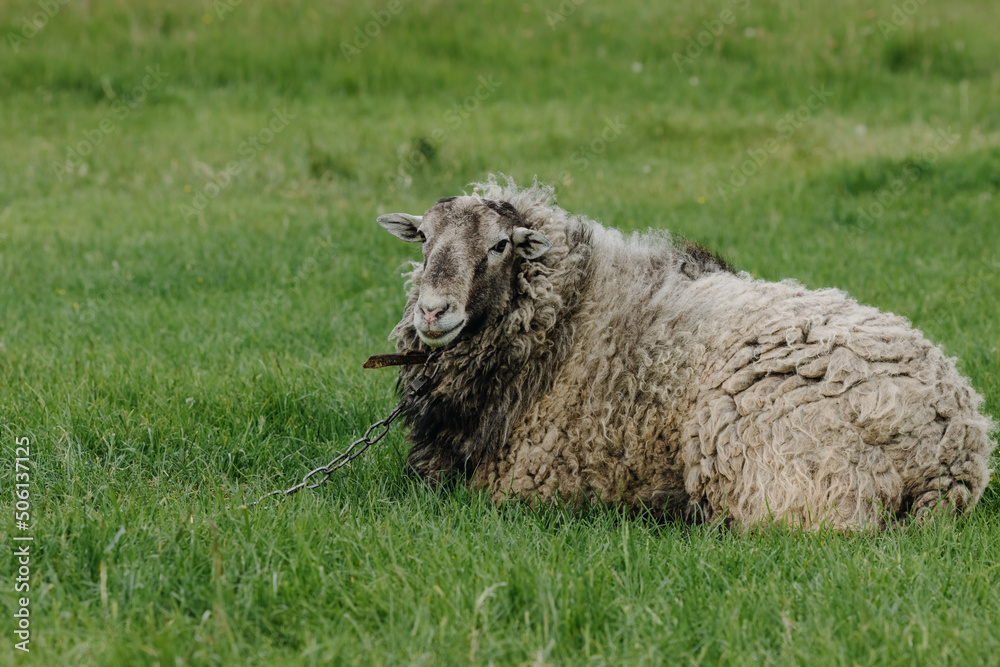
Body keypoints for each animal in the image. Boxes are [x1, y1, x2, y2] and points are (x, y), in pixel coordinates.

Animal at [376, 175, 996, 530]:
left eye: (500, 245)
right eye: (425, 238)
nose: (433, 312)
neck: (568, 317)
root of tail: (954, 445)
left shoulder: (527, 483)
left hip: (793, 474)